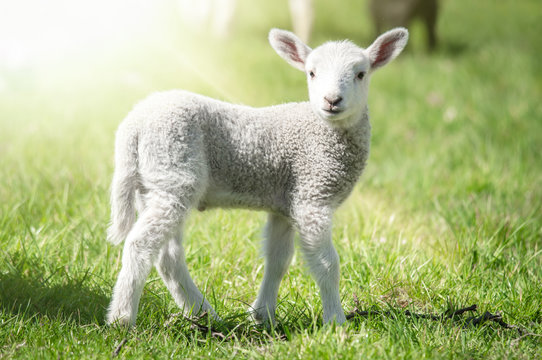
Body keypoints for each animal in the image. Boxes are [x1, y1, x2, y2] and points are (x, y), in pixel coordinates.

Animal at [106, 27, 410, 326]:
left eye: (361, 74)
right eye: (311, 73)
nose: (332, 100)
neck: (319, 130)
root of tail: (132, 125)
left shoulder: (286, 204)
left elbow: (278, 261)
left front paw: (263, 316)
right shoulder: (312, 197)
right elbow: (327, 264)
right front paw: (336, 322)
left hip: (154, 184)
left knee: (168, 256)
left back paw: (204, 314)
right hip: (173, 170)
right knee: (140, 243)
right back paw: (122, 319)